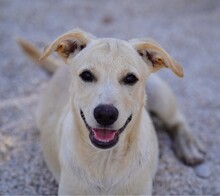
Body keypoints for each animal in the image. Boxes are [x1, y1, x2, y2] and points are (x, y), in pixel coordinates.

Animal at [16, 28, 205, 194]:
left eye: (130, 78)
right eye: (86, 75)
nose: (105, 114)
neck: (105, 161)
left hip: (160, 94)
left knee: (176, 120)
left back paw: (189, 147)